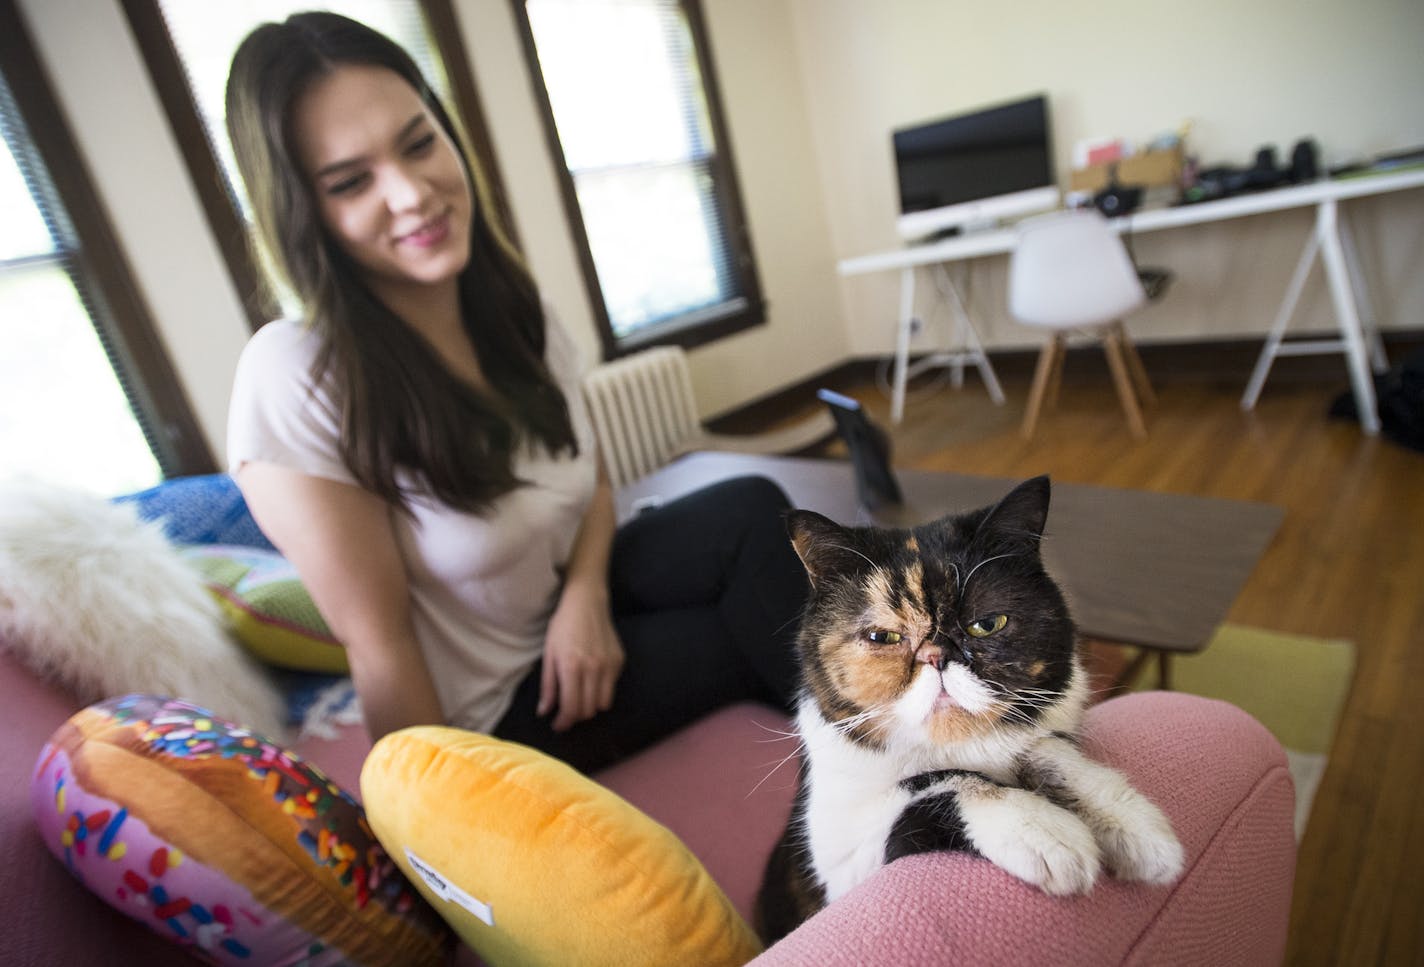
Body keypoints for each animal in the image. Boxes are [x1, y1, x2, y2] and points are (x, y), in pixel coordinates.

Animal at [757, 475, 1179, 945]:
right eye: (884, 636)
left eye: (987, 624)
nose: (937, 656)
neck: (959, 742)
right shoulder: (842, 856)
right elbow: (942, 781)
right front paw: (1045, 832)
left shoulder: (1042, 738)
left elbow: (1048, 751)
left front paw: (1134, 826)